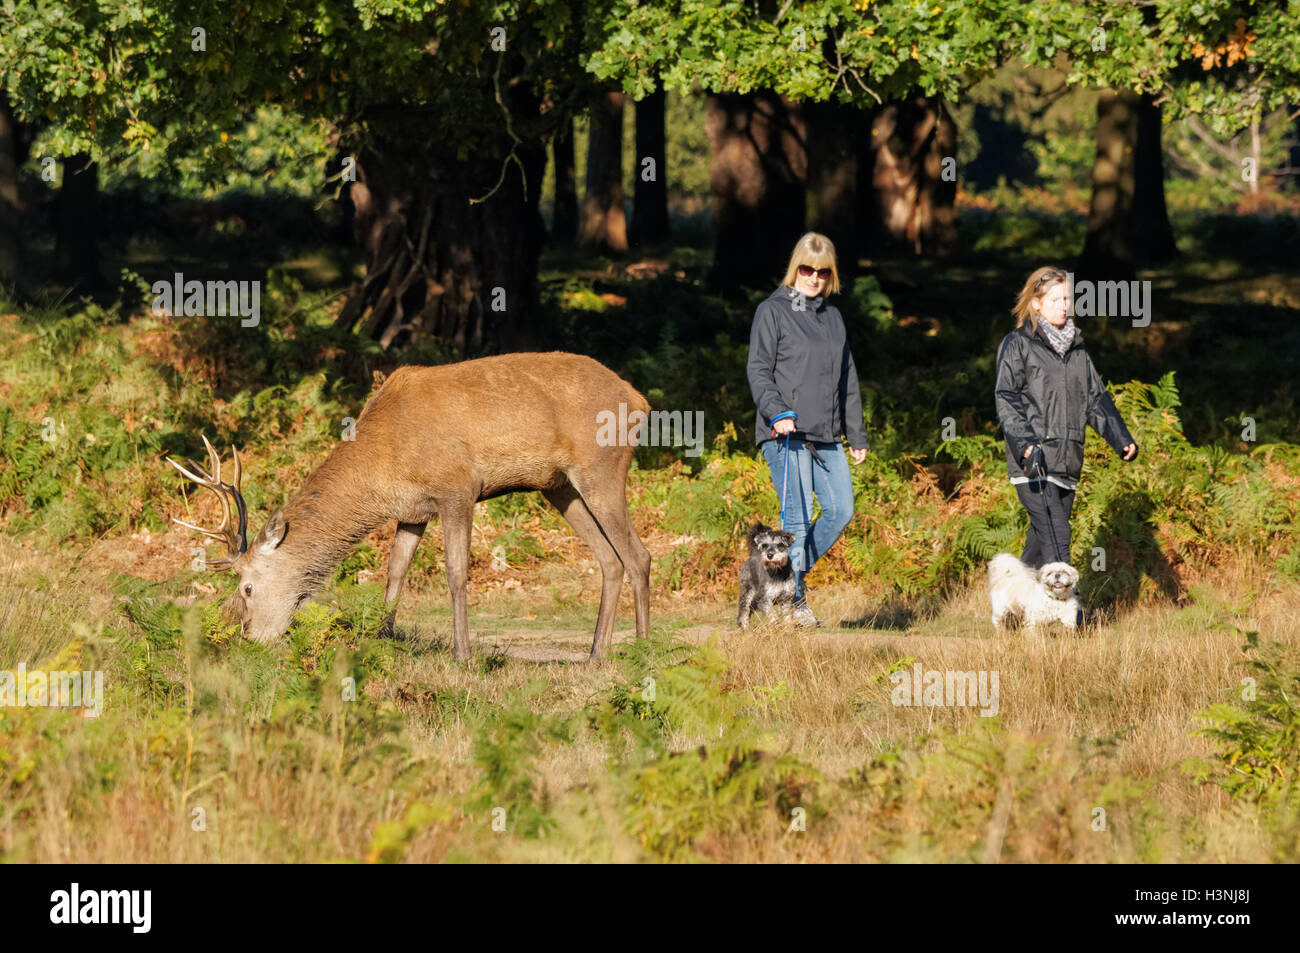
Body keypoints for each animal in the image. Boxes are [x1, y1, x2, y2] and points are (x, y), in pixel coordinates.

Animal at [169, 351, 655, 660]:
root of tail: (640, 400)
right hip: (558, 487)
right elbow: (395, 572)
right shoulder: (412, 510)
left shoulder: (457, 487)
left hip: (602, 467)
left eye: (247, 587)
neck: (384, 465)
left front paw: (464, 655)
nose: (250, 639)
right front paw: (381, 641)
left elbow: (456, 573)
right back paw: (595, 654)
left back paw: (644, 650)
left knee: (638, 555)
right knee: (610, 559)